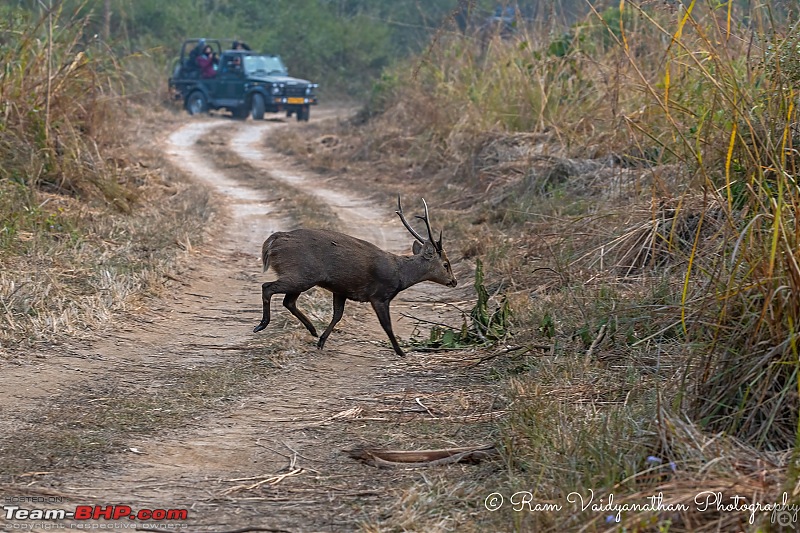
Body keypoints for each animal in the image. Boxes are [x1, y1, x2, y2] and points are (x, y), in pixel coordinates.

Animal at [253, 196, 460, 358]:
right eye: (446, 264)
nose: (454, 281)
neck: (400, 275)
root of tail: (272, 242)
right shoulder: (379, 295)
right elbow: (387, 325)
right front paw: (401, 351)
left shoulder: (341, 290)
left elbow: (337, 315)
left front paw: (321, 341)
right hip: (301, 273)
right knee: (267, 287)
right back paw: (262, 324)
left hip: (301, 276)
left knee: (288, 301)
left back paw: (312, 330)